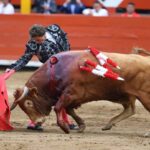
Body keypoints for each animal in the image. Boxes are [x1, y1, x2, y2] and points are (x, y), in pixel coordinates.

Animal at [11, 49, 150, 135]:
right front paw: (81, 126)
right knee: (130, 109)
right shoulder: (74, 97)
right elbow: (68, 110)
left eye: (28, 103)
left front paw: (65, 128)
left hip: (144, 96)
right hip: (124, 95)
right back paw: (108, 124)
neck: (55, 73)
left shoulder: (70, 93)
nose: (37, 122)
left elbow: (58, 108)